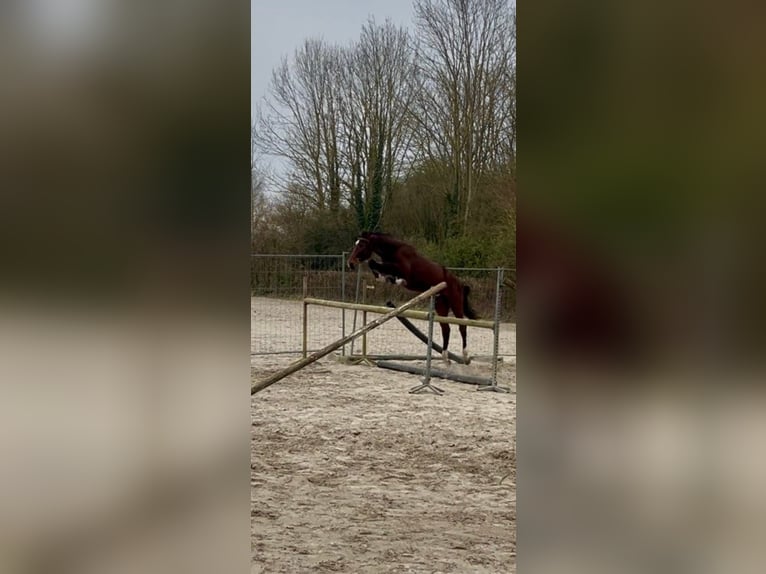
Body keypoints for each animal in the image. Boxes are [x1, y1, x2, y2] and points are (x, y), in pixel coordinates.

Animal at [347, 232, 478, 363]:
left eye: (362, 245)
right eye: (356, 244)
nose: (350, 263)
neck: (394, 251)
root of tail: (459, 283)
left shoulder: (402, 270)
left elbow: (374, 263)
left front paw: (397, 280)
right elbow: (374, 264)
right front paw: (384, 278)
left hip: (456, 303)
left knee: (462, 326)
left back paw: (465, 355)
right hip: (441, 305)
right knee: (446, 329)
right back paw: (445, 358)